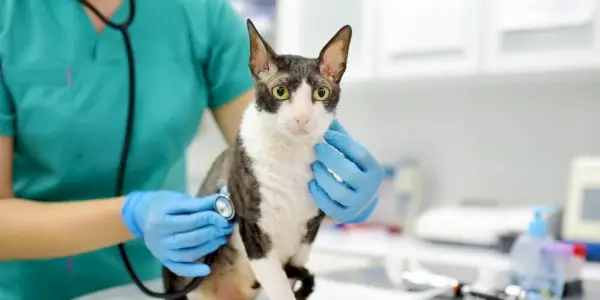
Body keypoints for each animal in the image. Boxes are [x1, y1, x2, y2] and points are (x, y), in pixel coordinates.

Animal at [162, 19, 354, 300]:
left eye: (321, 93)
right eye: (280, 91)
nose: (302, 118)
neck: (290, 157)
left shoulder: (308, 231)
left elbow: (287, 280)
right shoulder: (253, 228)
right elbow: (279, 287)